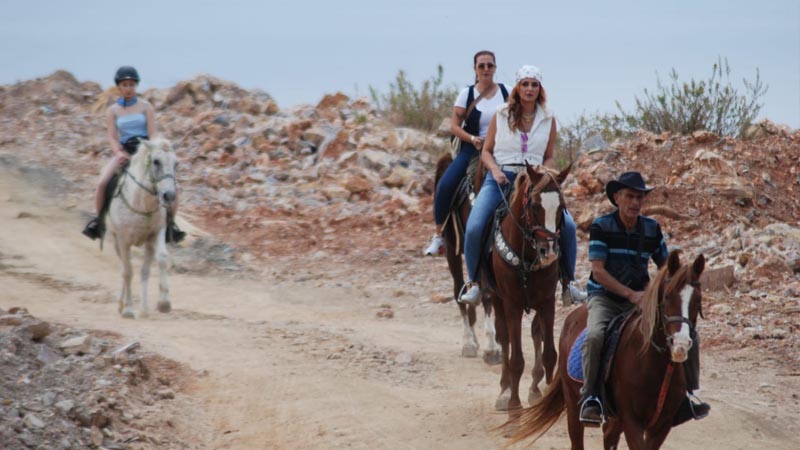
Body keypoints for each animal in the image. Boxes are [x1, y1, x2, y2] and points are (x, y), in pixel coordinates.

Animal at [105, 137, 178, 319]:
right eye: (156, 161)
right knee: (124, 268)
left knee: (143, 270)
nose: (169, 195)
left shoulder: (156, 234)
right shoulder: (123, 240)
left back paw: (143, 309)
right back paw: (122, 305)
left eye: (176, 164)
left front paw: (164, 304)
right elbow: (128, 272)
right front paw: (129, 310)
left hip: (146, 244)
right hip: (116, 241)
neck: (142, 204)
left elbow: (161, 259)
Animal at [488, 164, 570, 413]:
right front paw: (514, 405)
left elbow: (550, 353)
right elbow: (516, 359)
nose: (549, 251)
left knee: (535, 332)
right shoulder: (512, 304)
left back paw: (535, 388)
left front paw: (545, 401)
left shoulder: (547, 302)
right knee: (504, 337)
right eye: (534, 206)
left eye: (561, 207)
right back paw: (504, 391)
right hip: (496, 299)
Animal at [507, 250, 706, 450]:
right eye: (668, 296)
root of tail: (572, 317)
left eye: (698, 300)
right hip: (573, 404)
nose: (680, 344)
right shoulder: (631, 421)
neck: (653, 364)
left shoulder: (661, 426)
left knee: (609, 437)